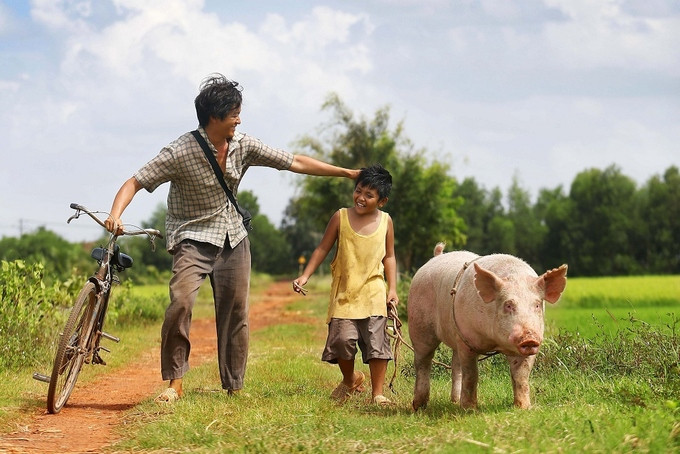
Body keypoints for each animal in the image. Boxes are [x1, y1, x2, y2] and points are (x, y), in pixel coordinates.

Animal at [410, 245, 568, 412]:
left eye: (537, 305)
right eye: (508, 305)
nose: (529, 337)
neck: (494, 342)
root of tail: (435, 258)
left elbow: (521, 375)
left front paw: (523, 407)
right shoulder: (467, 340)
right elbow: (471, 374)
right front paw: (470, 409)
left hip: (455, 337)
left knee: (455, 366)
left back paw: (454, 402)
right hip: (419, 327)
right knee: (423, 362)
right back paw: (419, 406)